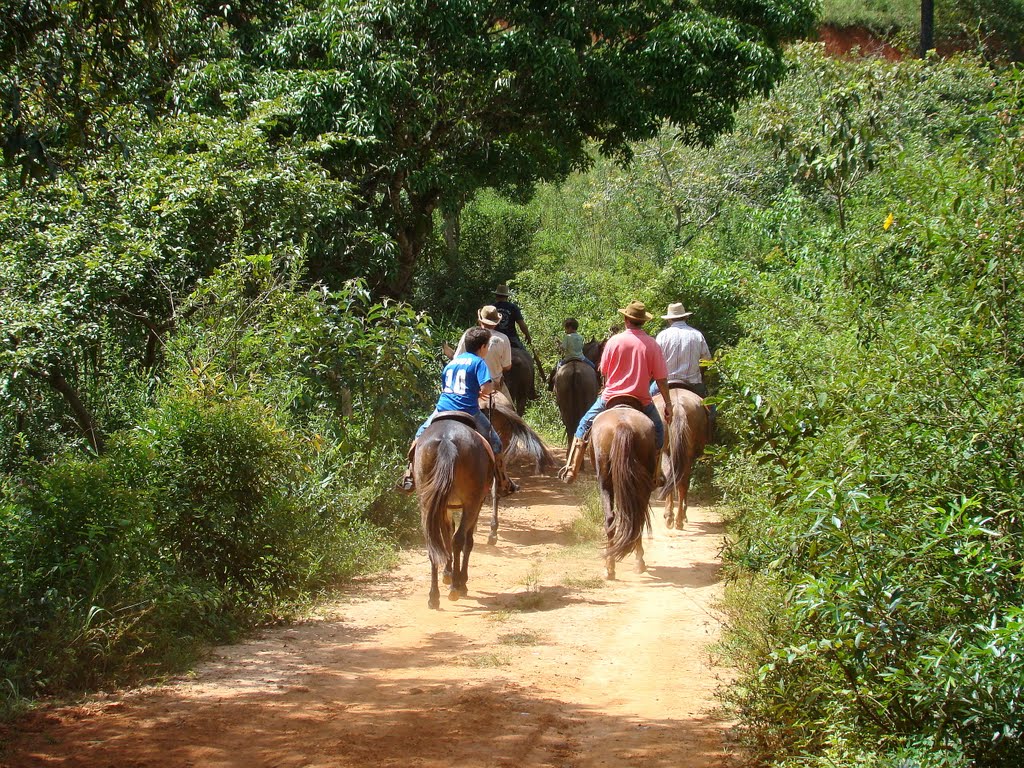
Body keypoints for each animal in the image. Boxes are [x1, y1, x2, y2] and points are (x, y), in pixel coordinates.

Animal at [415, 417, 495, 610]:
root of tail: (446, 439)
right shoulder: (476, 504)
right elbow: (466, 540)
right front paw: (459, 580)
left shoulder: (445, 507)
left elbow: (445, 536)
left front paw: (448, 573)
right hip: (471, 502)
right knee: (459, 539)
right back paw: (455, 588)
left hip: (427, 502)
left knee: (433, 542)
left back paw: (434, 596)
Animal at [593, 405, 655, 581]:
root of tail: (624, 424)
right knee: (635, 517)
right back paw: (635, 563)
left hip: (605, 482)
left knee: (611, 519)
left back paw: (610, 567)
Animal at [655, 391, 712, 528]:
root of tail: (679, 409)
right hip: (687, 453)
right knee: (682, 481)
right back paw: (679, 518)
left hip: (667, 451)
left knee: (673, 478)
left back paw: (671, 516)